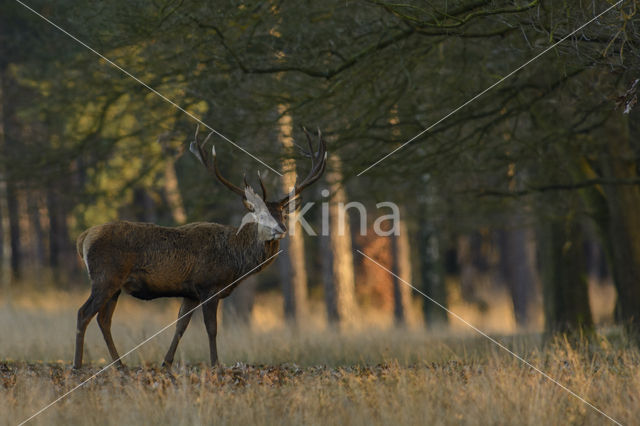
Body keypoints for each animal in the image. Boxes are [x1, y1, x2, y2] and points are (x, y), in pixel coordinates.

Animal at [72, 126, 328, 370]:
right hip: (106, 277)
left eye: (283, 214)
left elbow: (180, 326)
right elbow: (211, 328)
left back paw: (120, 365)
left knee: (104, 320)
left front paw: (166, 363)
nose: (281, 229)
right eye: (261, 214)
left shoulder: (190, 293)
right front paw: (216, 364)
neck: (235, 263)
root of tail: (83, 237)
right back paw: (77, 364)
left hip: (115, 285)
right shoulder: (208, 285)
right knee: (84, 313)